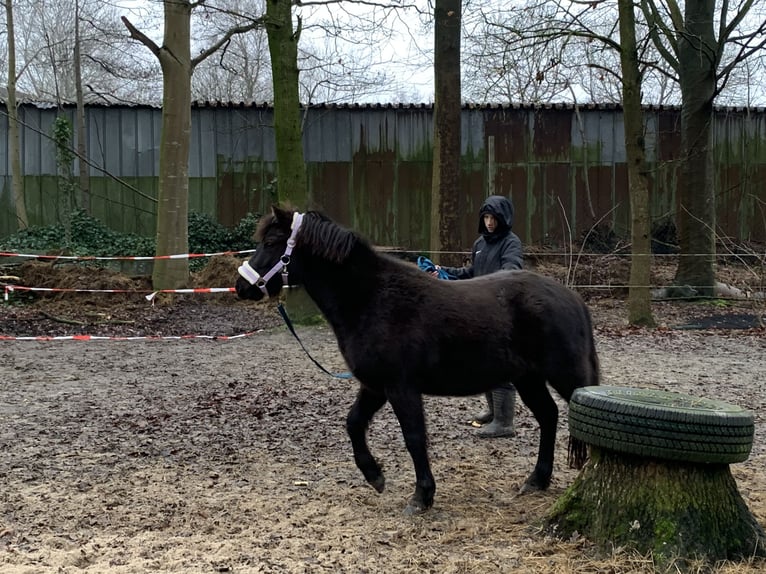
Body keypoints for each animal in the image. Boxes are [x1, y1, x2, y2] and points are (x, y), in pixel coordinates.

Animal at [234, 207, 600, 516]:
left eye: (271, 242)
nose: (241, 286)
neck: (372, 299)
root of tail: (572, 297)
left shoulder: (401, 388)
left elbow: (413, 437)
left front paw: (421, 496)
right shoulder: (375, 386)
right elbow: (353, 423)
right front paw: (374, 476)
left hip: (564, 376)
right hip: (529, 379)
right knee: (549, 416)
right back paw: (537, 480)